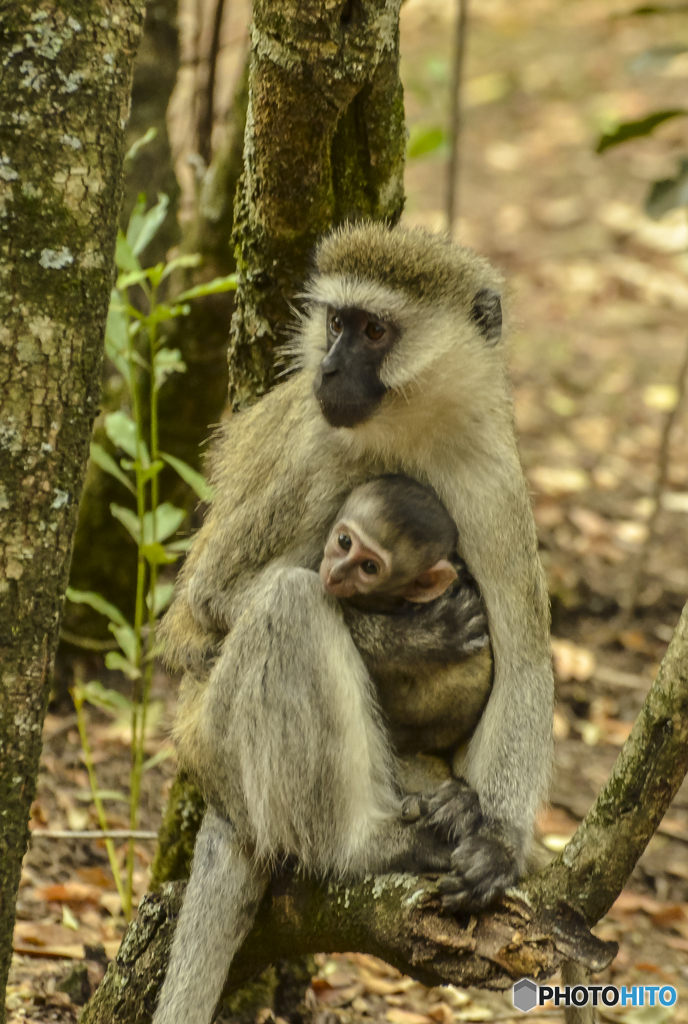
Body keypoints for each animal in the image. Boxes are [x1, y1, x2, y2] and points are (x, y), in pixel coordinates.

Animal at [155, 222, 552, 1024]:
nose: (330, 367)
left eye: (374, 331)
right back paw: (366, 848)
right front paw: (414, 637)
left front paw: (497, 843)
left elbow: (526, 656)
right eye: (337, 322)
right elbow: (212, 604)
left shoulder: (491, 472)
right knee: (288, 605)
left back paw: (457, 808)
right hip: (218, 746)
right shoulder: (322, 451)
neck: (412, 428)